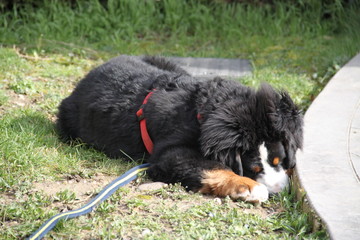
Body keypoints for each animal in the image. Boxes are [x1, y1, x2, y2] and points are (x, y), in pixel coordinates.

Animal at [57, 54, 304, 202]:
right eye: (254, 169)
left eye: (280, 160)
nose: (280, 191)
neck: (200, 112)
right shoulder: (170, 153)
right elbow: (212, 167)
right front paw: (249, 187)